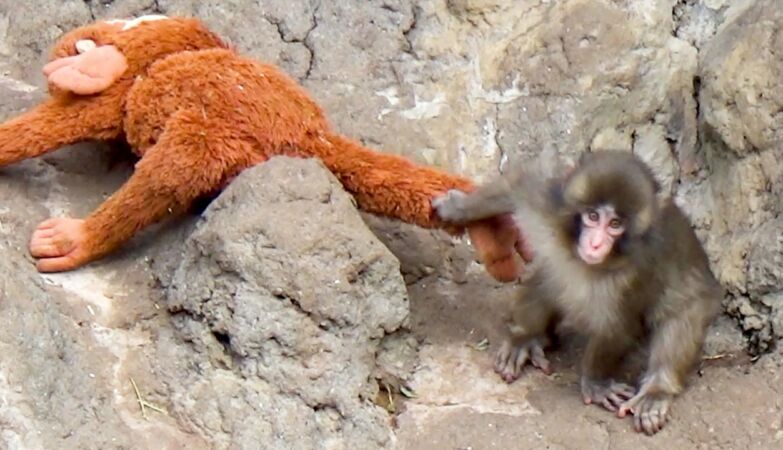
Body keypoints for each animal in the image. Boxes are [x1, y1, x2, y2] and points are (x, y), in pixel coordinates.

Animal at [432, 150, 722, 435]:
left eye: (615, 224)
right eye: (592, 217)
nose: (595, 244)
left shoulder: (639, 270)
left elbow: (618, 326)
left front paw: (595, 381)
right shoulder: (550, 205)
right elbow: (515, 185)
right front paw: (457, 208)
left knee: (682, 318)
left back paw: (658, 387)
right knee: (553, 278)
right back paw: (527, 336)